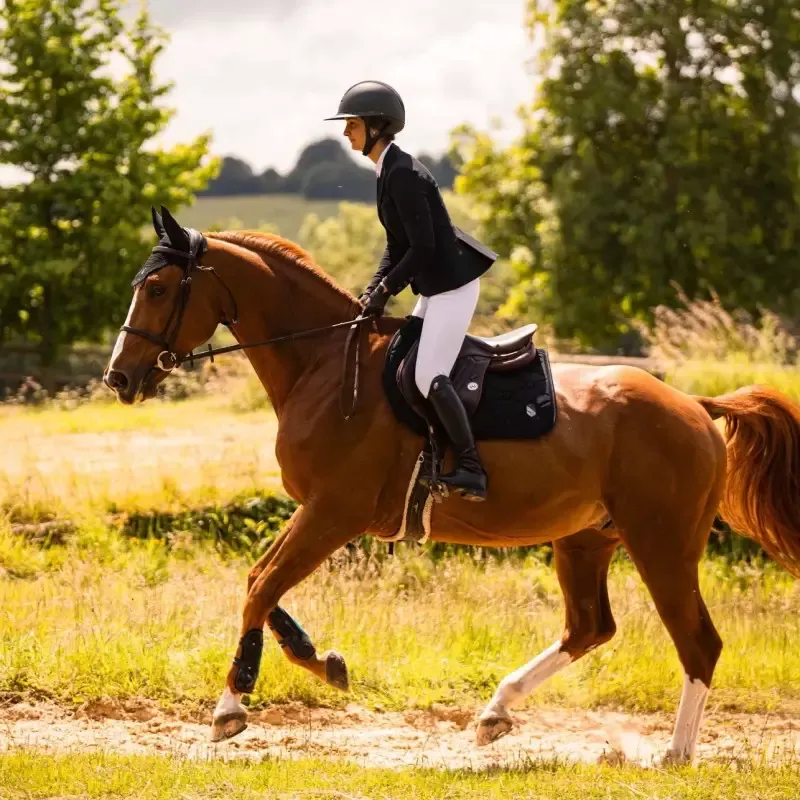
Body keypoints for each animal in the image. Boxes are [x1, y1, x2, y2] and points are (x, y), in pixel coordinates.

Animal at [104, 207, 800, 764]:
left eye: (158, 289)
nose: (118, 379)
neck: (321, 366)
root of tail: (695, 406)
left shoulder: (335, 512)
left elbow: (261, 586)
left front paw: (231, 707)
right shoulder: (318, 511)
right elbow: (260, 581)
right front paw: (323, 661)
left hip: (662, 543)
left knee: (698, 643)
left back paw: (674, 755)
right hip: (585, 539)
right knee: (588, 628)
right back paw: (496, 712)